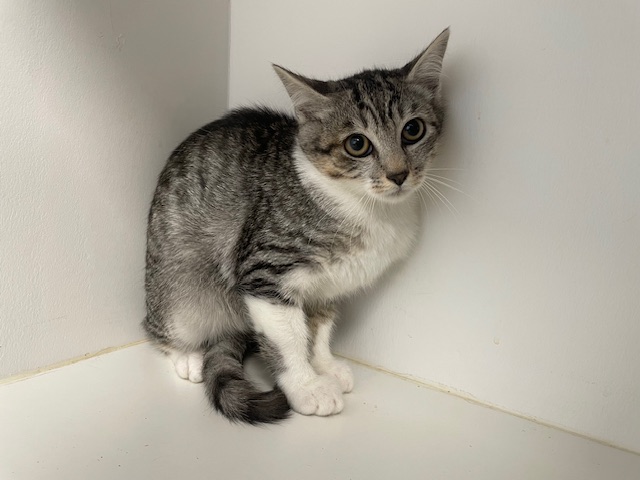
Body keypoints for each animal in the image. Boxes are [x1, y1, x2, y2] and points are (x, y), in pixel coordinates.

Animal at [143, 28, 449, 424]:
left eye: (413, 130)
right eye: (357, 144)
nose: (398, 174)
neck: (369, 209)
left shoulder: (328, 285)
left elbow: (318, 327)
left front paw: (324, 365)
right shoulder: (263, 269)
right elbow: (289, 338)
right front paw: (306, 386)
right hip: (180, 287)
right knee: (162, 325)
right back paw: (188, 355)